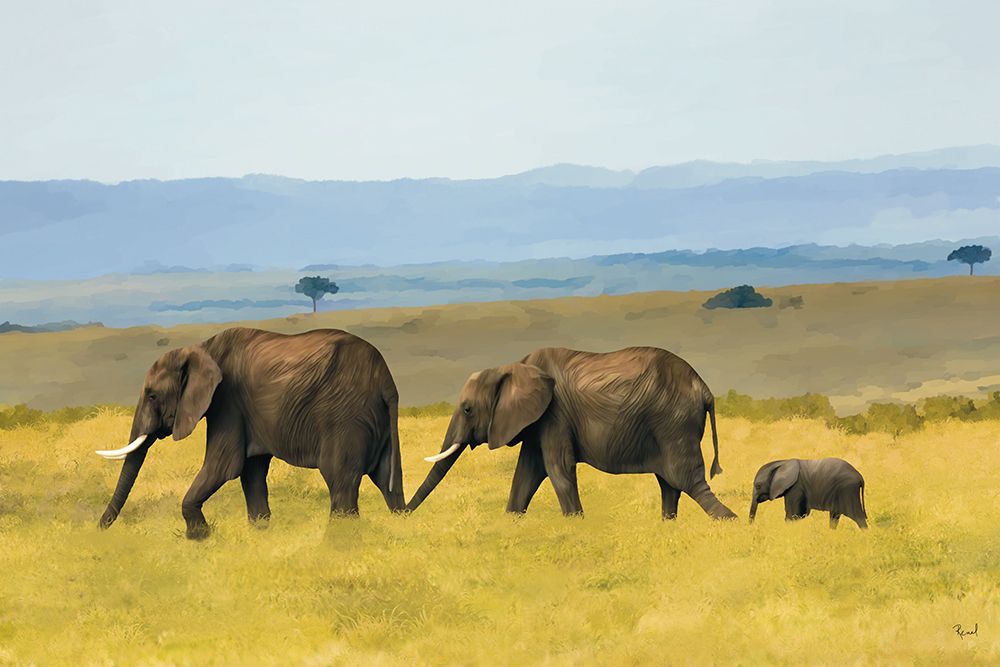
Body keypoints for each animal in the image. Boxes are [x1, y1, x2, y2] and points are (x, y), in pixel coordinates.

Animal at [96, 327, 404, 539]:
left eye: (151, 395)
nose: (98, 529)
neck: (202, 348)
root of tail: (386, 380)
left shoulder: (227, 402)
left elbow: (223, 466)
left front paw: (199, 538)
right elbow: (251, 471)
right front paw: (260, 533)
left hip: (344, 417)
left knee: (340, 480)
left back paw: (338, 543)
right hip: (376, 421)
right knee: (387, 482)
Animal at [406, 346, 737, 520]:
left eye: (467, 410)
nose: (402, 513)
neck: (514, 366)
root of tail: (705, 389)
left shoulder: (556, 415)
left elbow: (557, 469)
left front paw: (576, 522)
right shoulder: (537, 422)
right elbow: (526, 473)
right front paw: (511, 520)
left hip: (674, 423)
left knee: (687, 481)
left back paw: (731, 522)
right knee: (670, 484)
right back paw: (667, 524)